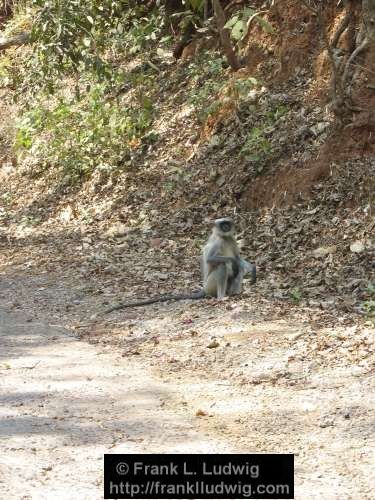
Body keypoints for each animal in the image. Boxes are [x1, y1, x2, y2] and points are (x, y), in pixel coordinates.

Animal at [106, 218, 258, 314]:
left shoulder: (231, 239)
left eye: (227, 224)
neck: (224, 237)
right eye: (222, 225)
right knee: (223, 265)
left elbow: (238, 259)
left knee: (238, 269)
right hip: (210, 285)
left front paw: (253, 269)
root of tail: (204, 288)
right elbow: (213, 259)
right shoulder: (217, 241)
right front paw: (232, 261)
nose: (226, 227)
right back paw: (222, 297)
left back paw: (235, 293)